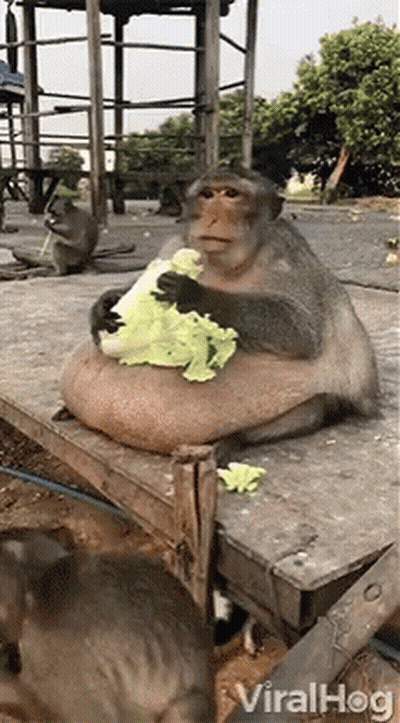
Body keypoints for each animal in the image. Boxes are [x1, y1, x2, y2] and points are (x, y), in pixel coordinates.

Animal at [60, 167, 378, 455]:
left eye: (232, 194)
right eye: (207, 195)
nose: (213, 217)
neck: (226, 264)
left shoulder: (285, 254)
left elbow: (302, 331)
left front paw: (193, 294)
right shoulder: (176, 244)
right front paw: (105, 304)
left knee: (315, 407)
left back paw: (233, 440)